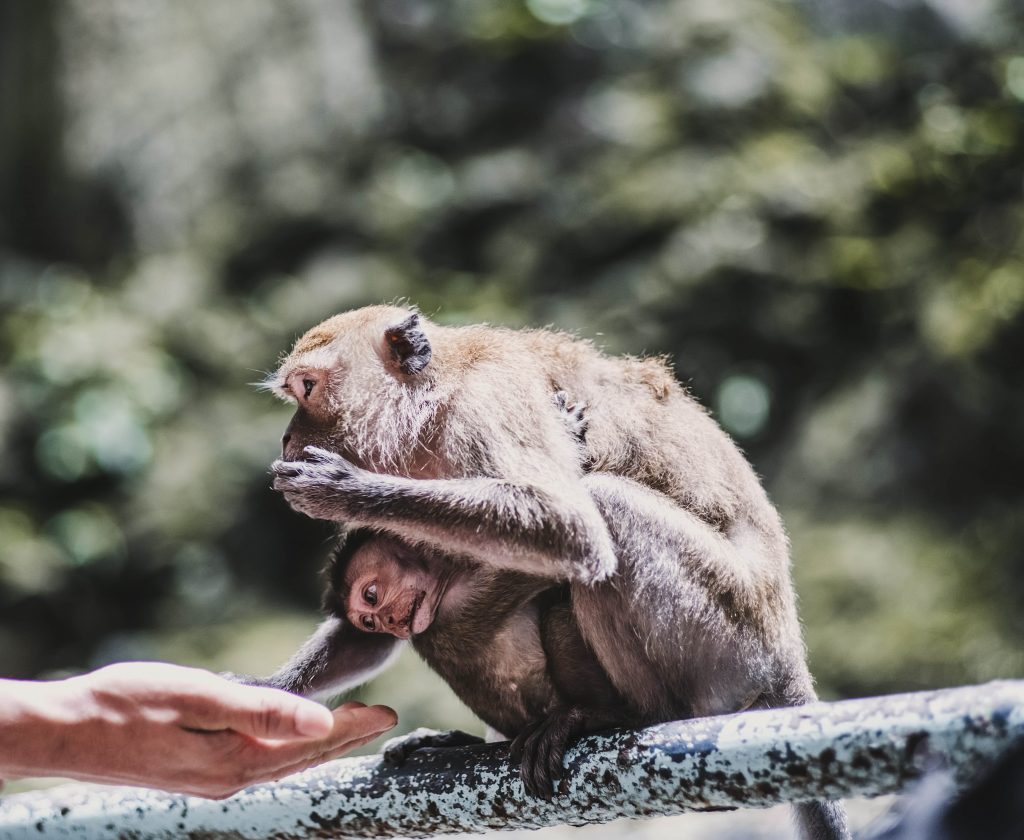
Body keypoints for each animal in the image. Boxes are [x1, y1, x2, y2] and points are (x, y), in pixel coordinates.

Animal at [262, 305, 847, 835]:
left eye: (308, 388)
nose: (285, 439)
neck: (432, 403)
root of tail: (787, 651)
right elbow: (371, 634)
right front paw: (265, 689)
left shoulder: (486, 406)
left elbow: (568, 527)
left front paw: (344, 489)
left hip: (730, 643)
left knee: (609, 505)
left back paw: (637, 717)